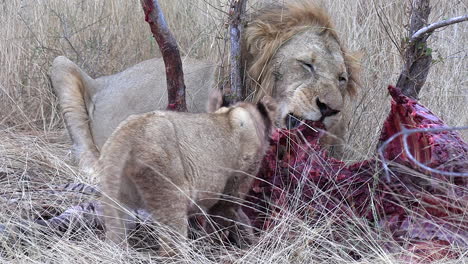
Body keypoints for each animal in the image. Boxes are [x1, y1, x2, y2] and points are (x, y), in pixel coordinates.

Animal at [50, 1, 358, 170]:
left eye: (341, 79)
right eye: (307, 64)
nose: (330, 110)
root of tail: (104, 79)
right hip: (60, 64)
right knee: (83, 151)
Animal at [97, 96, 276, 254]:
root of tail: (124, 135)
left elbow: (240, 220)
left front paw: (250, 244)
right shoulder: (233, 188)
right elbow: (222, 221)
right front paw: (215, 247)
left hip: (118, 200)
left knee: (116, 236)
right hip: (171, 194)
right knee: (170, 248)